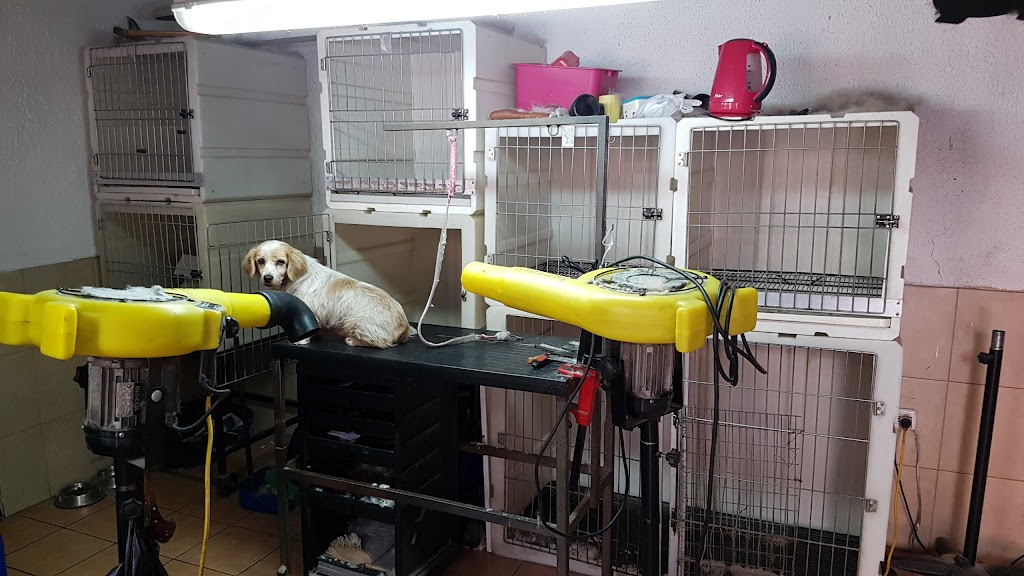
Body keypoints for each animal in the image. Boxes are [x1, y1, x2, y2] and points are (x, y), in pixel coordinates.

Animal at [242, 240, 411, 348]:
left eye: (281, 262)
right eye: (260, 261)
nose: (267, 277)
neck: (296, 278)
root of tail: (405, 325)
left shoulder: (307, 311)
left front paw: (301, 341)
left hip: (356, 323)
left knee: (382, 344)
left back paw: (353, 340)